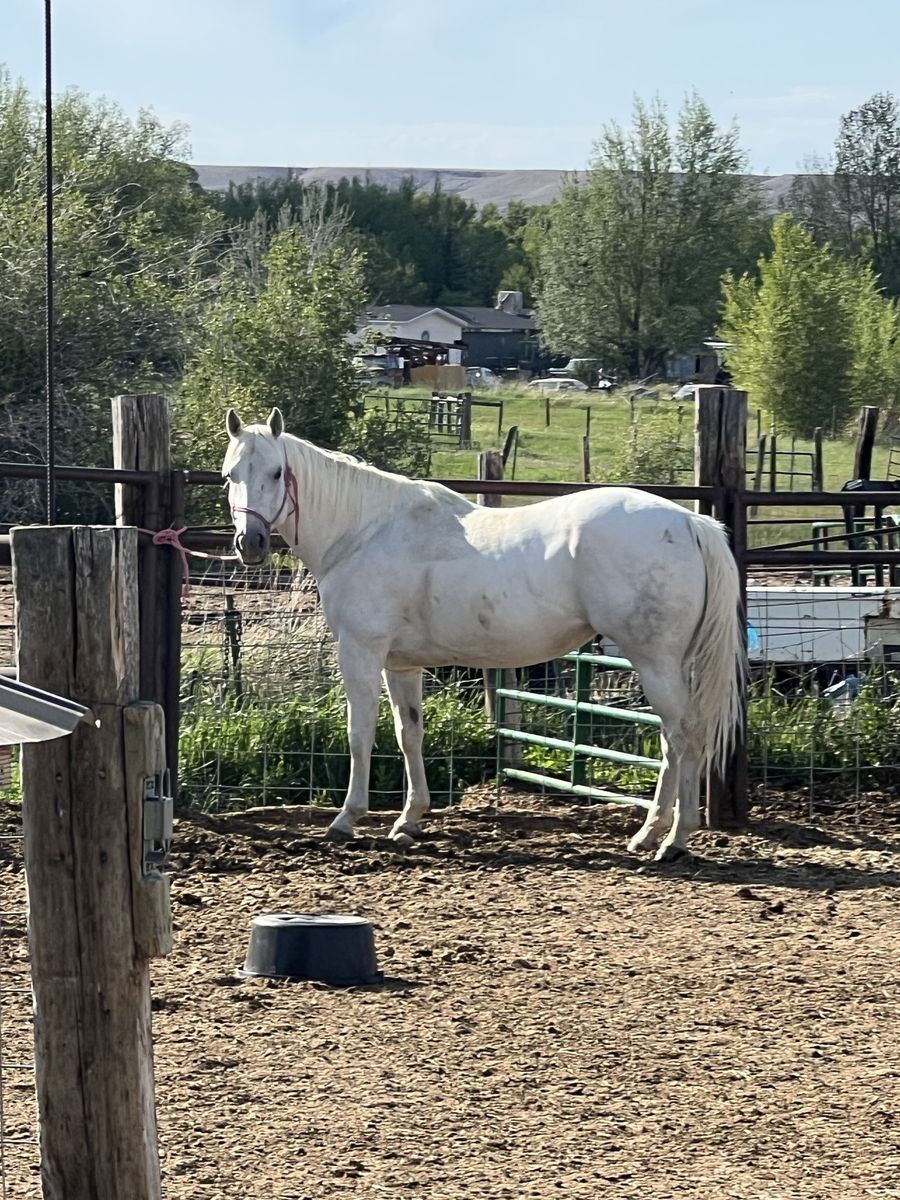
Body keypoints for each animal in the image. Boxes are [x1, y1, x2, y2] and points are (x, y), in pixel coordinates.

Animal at [222, 407, 745, 861]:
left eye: (275, 473)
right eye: (230, 475)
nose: (251, 544)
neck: (363, 530)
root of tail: (689, 521)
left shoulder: (361, 652)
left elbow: (360, 733)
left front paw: (347, 819)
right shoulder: (401, 664)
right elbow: (409, 733)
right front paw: (409, 821)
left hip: (655, 661)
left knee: (684, 734)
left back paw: (673, 839)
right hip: (668, 663)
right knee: (673, 740)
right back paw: (651, 833)